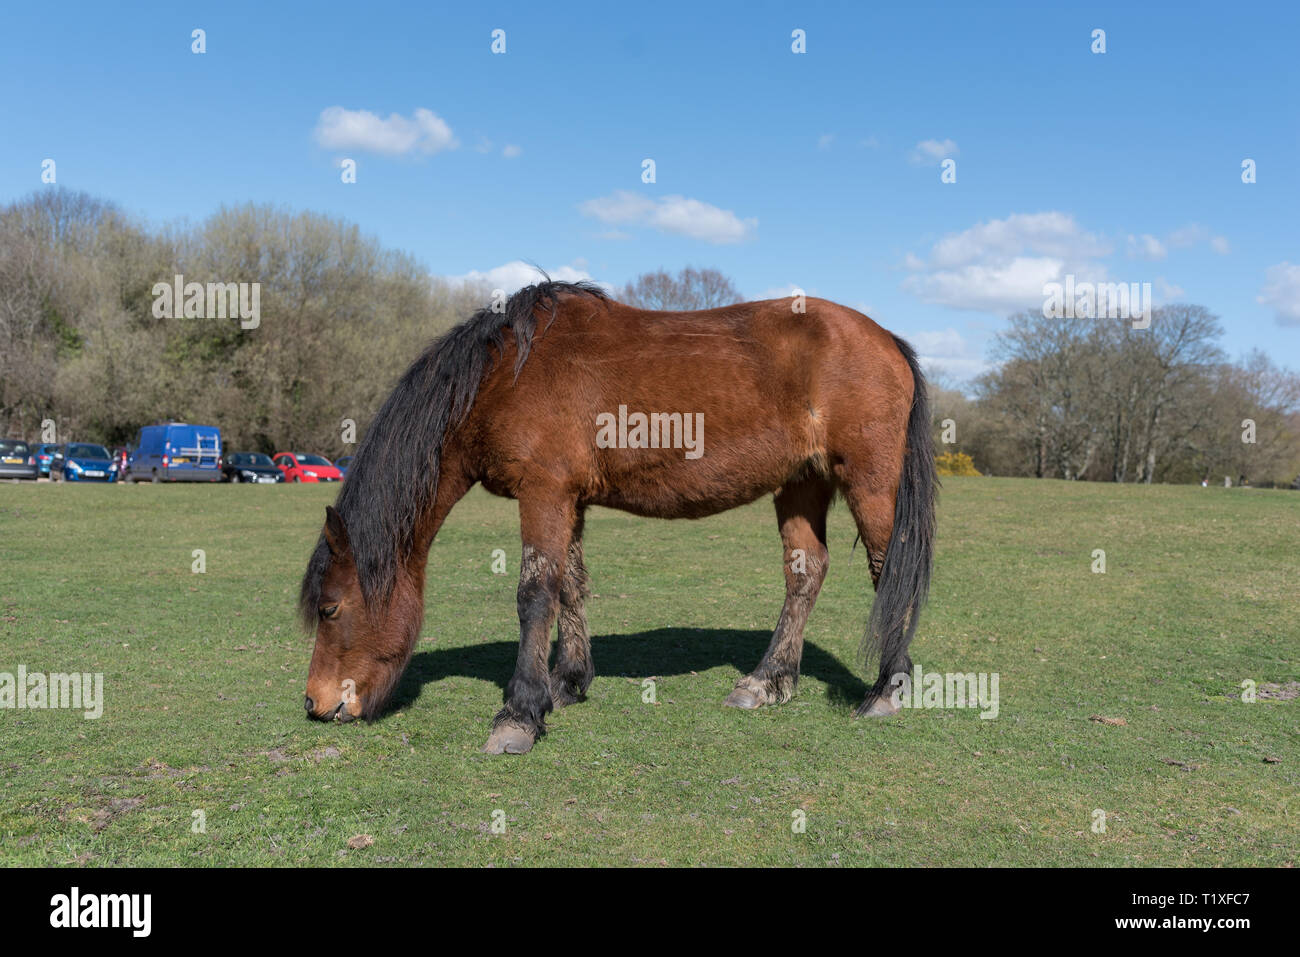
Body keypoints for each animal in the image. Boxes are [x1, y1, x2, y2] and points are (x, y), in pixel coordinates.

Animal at [300, 280, 936, 754]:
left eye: (330, 609)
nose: (315, 703)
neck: (505, 375)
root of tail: (886, 338)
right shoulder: (569, 499)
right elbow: (570, 587)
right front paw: (567, 684)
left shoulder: (545, 492)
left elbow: (534, 595)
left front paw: (519, 714)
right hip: (802, 483)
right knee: (806, 572)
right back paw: (768, 682)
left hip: (868, 481)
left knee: (888, 570)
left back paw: (886, 690)